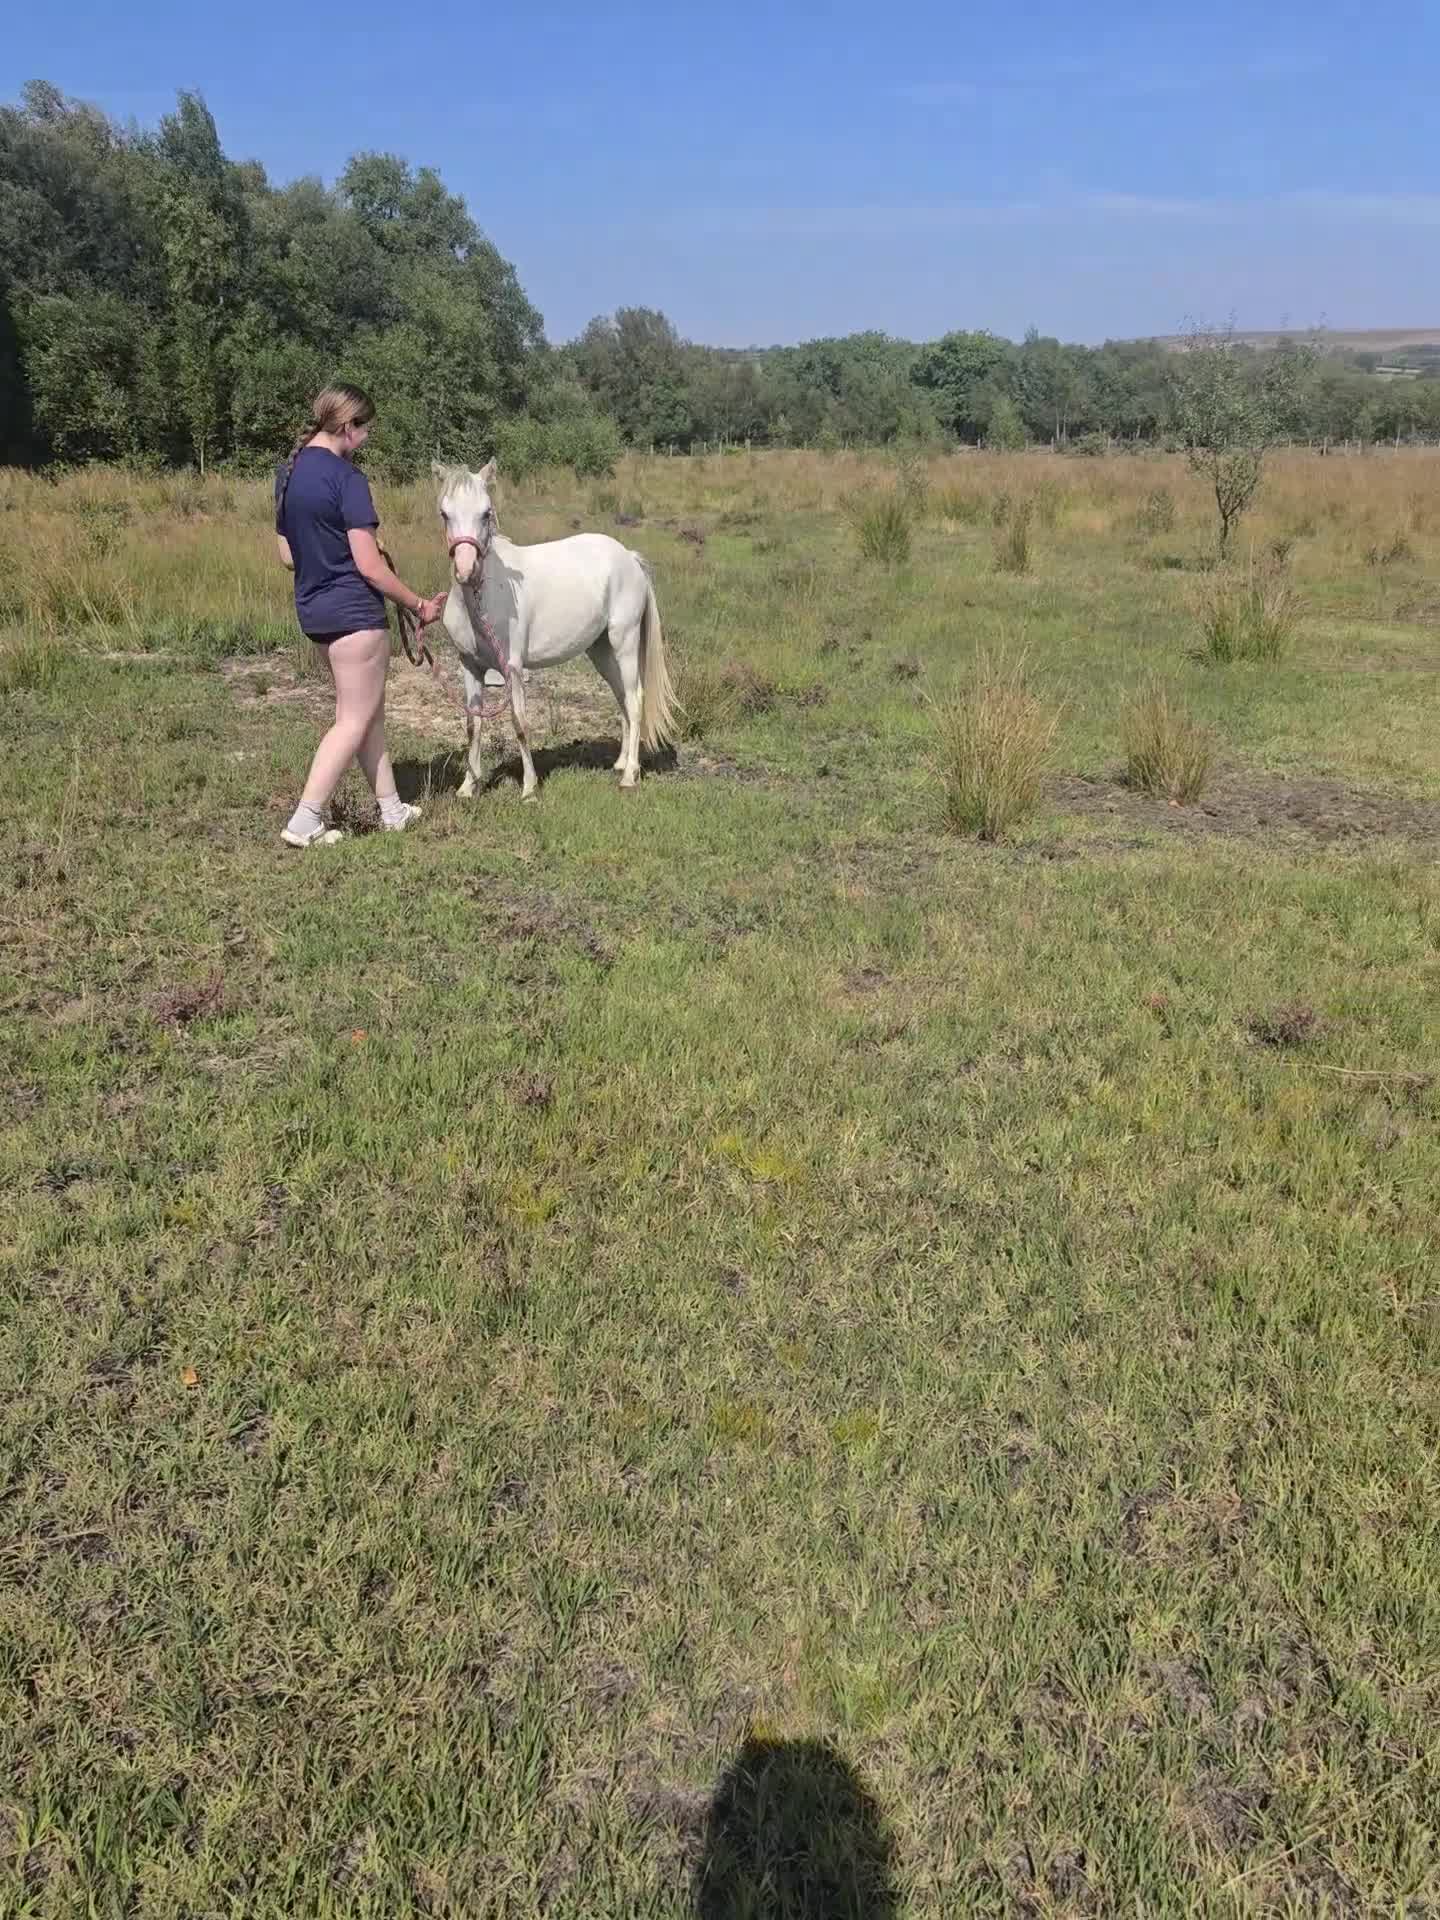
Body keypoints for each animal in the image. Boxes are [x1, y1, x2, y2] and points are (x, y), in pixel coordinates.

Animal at [428, 461, 679, 800]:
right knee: (621, 699)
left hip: (624, 643)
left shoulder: (512, 669)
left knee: (634, 698)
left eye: (486, 512)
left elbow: (519, 723)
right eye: (445, 513)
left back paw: (629, 775)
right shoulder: (469, 666)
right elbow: (473, 724)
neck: (484, 597)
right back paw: (620, 763)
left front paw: (529, 789)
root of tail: (629, 557)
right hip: (601, 650)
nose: (466, 570)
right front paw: (468, 787)